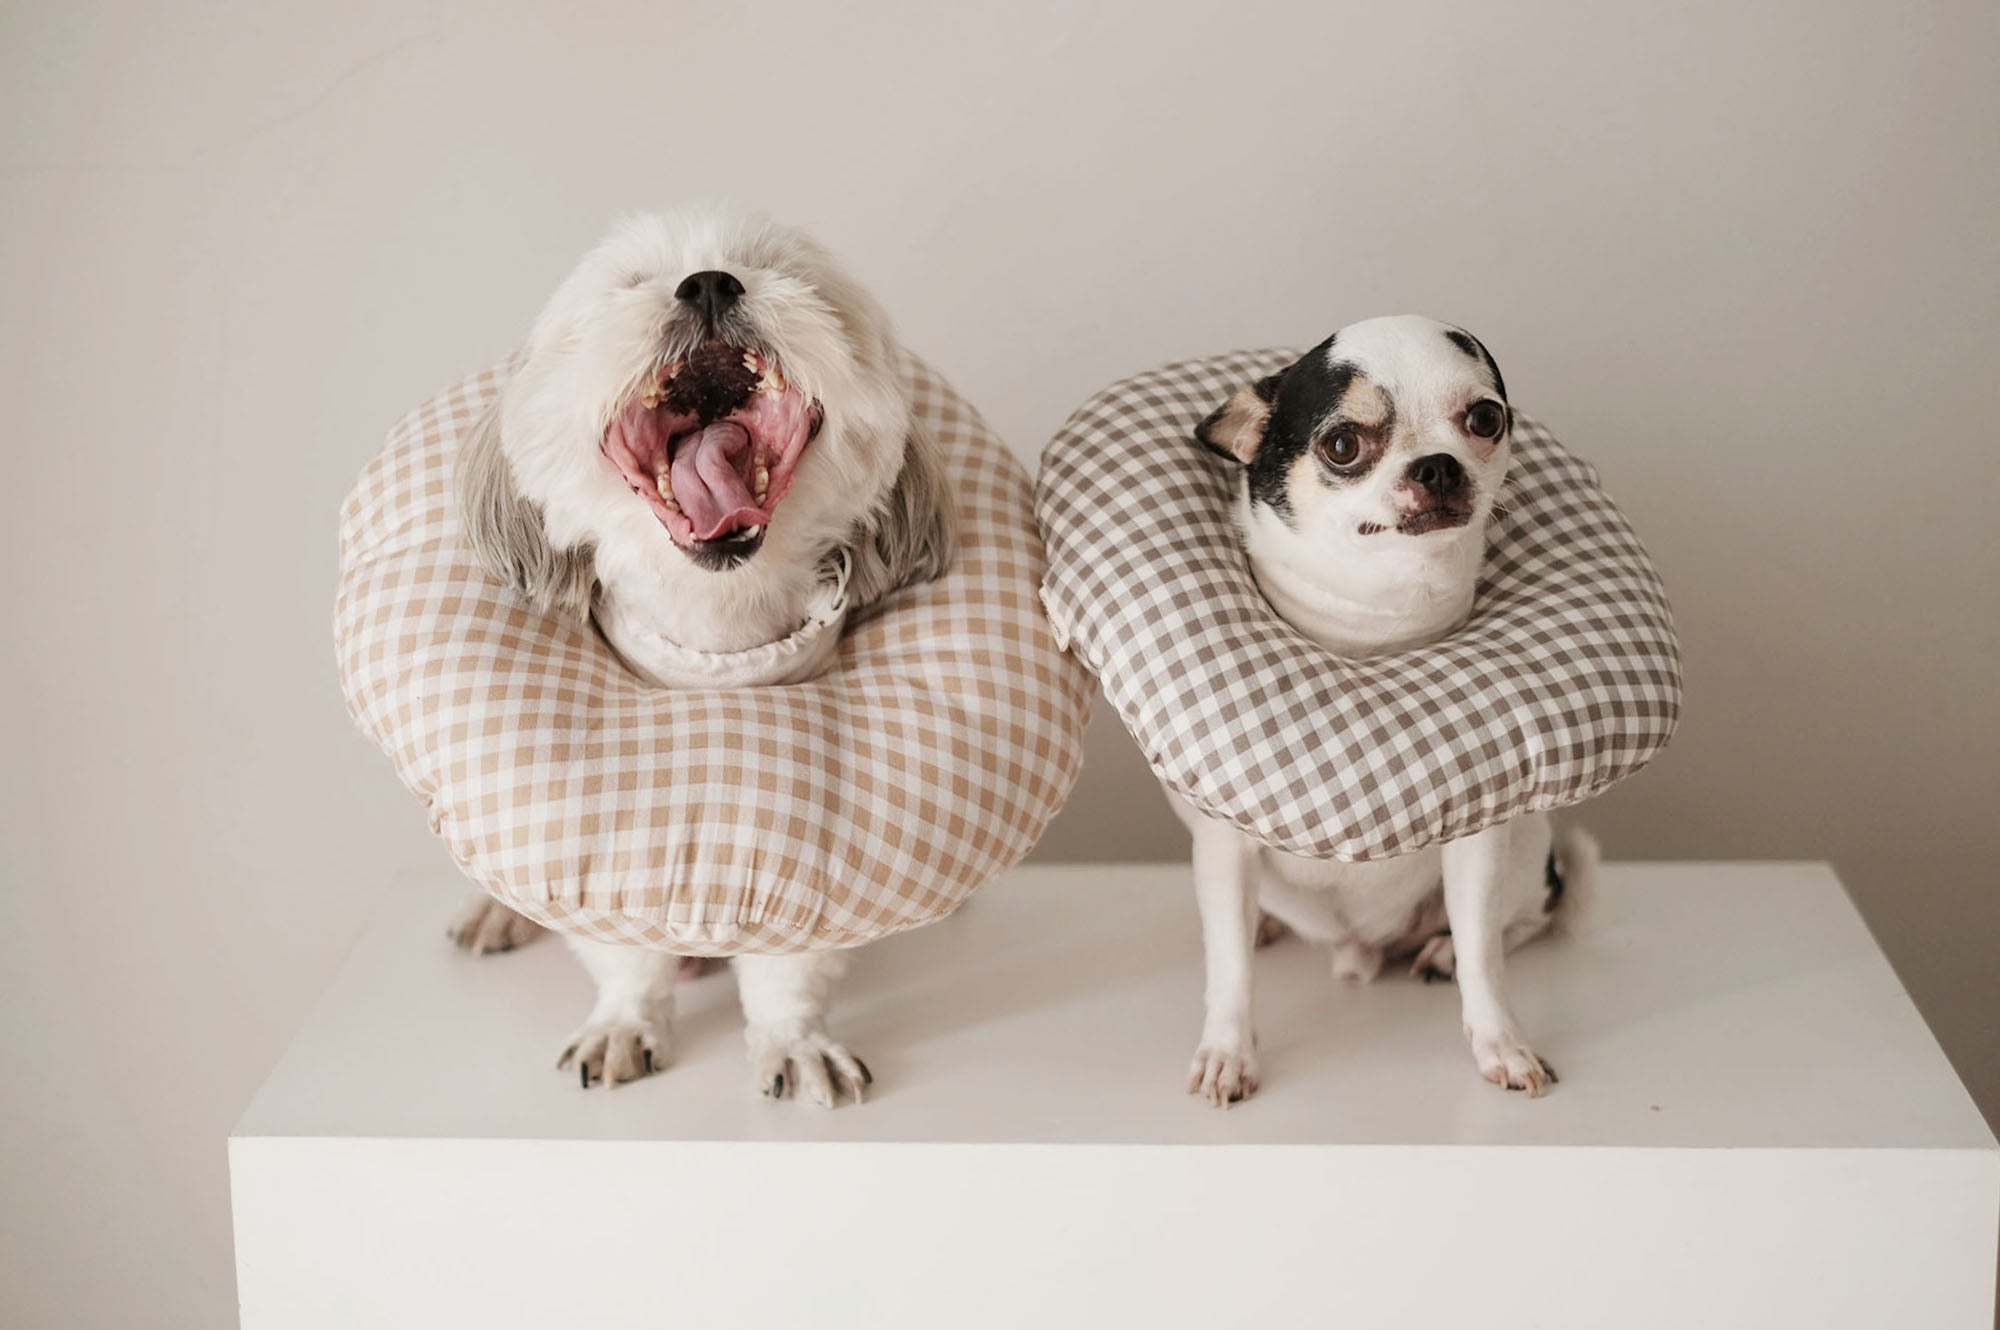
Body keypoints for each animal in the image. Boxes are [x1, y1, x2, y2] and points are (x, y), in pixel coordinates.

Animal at [454, 205, 952, 1096]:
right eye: (624, 286)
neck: (718, 635)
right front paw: (623, 1024)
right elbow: (623, 951)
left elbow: (792, 966)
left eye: (792, 278)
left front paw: (795, 1043)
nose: (712, 283)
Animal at [1176, 316, 1600, 1104]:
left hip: (1527, 843)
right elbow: (1229, 970)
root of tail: (1361, 949)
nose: (1438, 466)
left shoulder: (1477, 844)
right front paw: (1227, 1052)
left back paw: (1441, 952)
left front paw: (1502, 1044)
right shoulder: (1224, 848)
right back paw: (1267, 928)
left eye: (1486, 419)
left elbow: (1487, 960)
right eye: (1343, 445)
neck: (1375, 625)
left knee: (1520, 922)